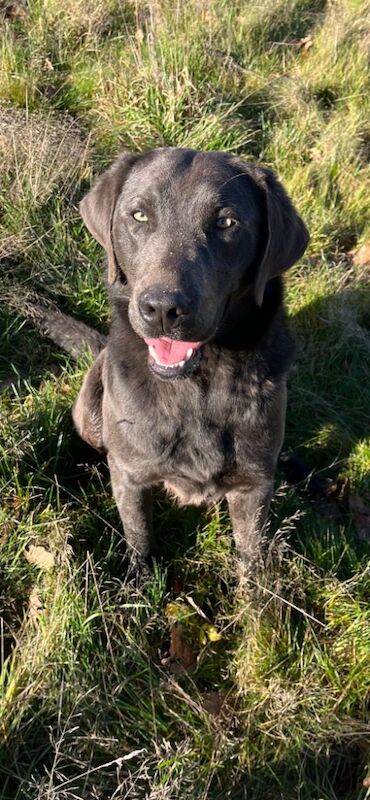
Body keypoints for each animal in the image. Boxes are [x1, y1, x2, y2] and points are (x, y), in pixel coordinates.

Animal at [73, 148, 310, 568]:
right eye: (139, 215)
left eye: (226, 222)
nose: (162, 309)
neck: (197, 387)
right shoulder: (131, 475)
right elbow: (139, 537)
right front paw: (138, 580)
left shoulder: (253, 487)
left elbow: (251, 558)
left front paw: (256, 588)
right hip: (91, 407)